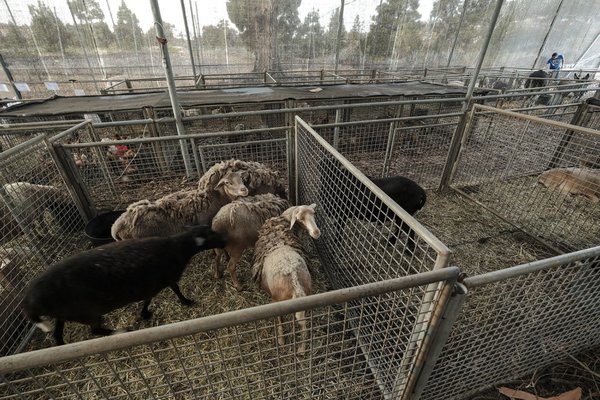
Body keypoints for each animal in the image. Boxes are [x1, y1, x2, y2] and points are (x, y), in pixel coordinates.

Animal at [23, 223, 227, 346]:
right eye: (211, 235)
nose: (226, 240)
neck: (179, 247)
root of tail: (31, 300)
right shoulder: (162, 279)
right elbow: (172, 291)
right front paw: (185, 302)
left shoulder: (153, 284)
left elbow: (150, 299)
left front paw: (145, 314)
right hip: (86, 310)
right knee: (95, 330)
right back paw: (123, 331)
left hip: (63, 313)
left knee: (58, 334)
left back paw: (64, 346)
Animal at [251, 205, 322, 354]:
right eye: (300, 219)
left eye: (313, 214)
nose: (316, 232)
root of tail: (295, 284)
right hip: (308, 297)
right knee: (305, 324)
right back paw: (302, 349)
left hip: (277, 300)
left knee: (280, 320)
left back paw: (281, 339)